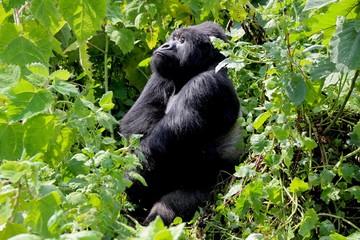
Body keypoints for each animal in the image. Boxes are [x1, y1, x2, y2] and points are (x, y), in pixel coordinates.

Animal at [121, 21, 242, 226]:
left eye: (183, 40)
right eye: (174, 37)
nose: (165, 45)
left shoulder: (205, 84)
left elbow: (153, 150)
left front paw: (125, 182)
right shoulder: (161, 73)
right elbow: (135, 127)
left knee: (166, 211)